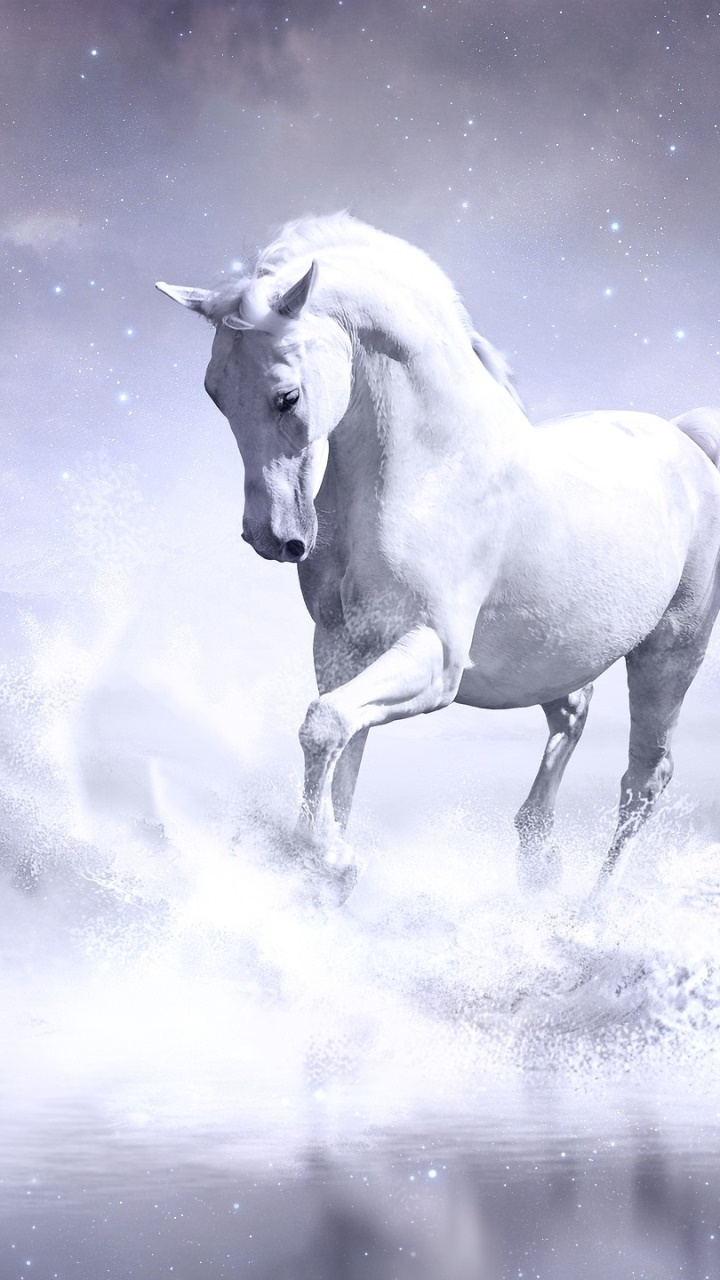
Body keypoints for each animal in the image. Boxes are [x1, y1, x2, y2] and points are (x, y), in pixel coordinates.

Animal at [156, 213, 720, 901]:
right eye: (214, 393)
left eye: (286, 396)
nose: (272, 537)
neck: (431, 471)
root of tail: (687, 441)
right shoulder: (344, 649)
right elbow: (342, 745)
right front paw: (328, 863)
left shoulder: (433, 657)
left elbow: (324, 725)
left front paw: (331, 857)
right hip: (551, 653)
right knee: (574, 714)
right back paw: (538, 859)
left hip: (670, 653)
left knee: (644, 779)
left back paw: (588, 910)